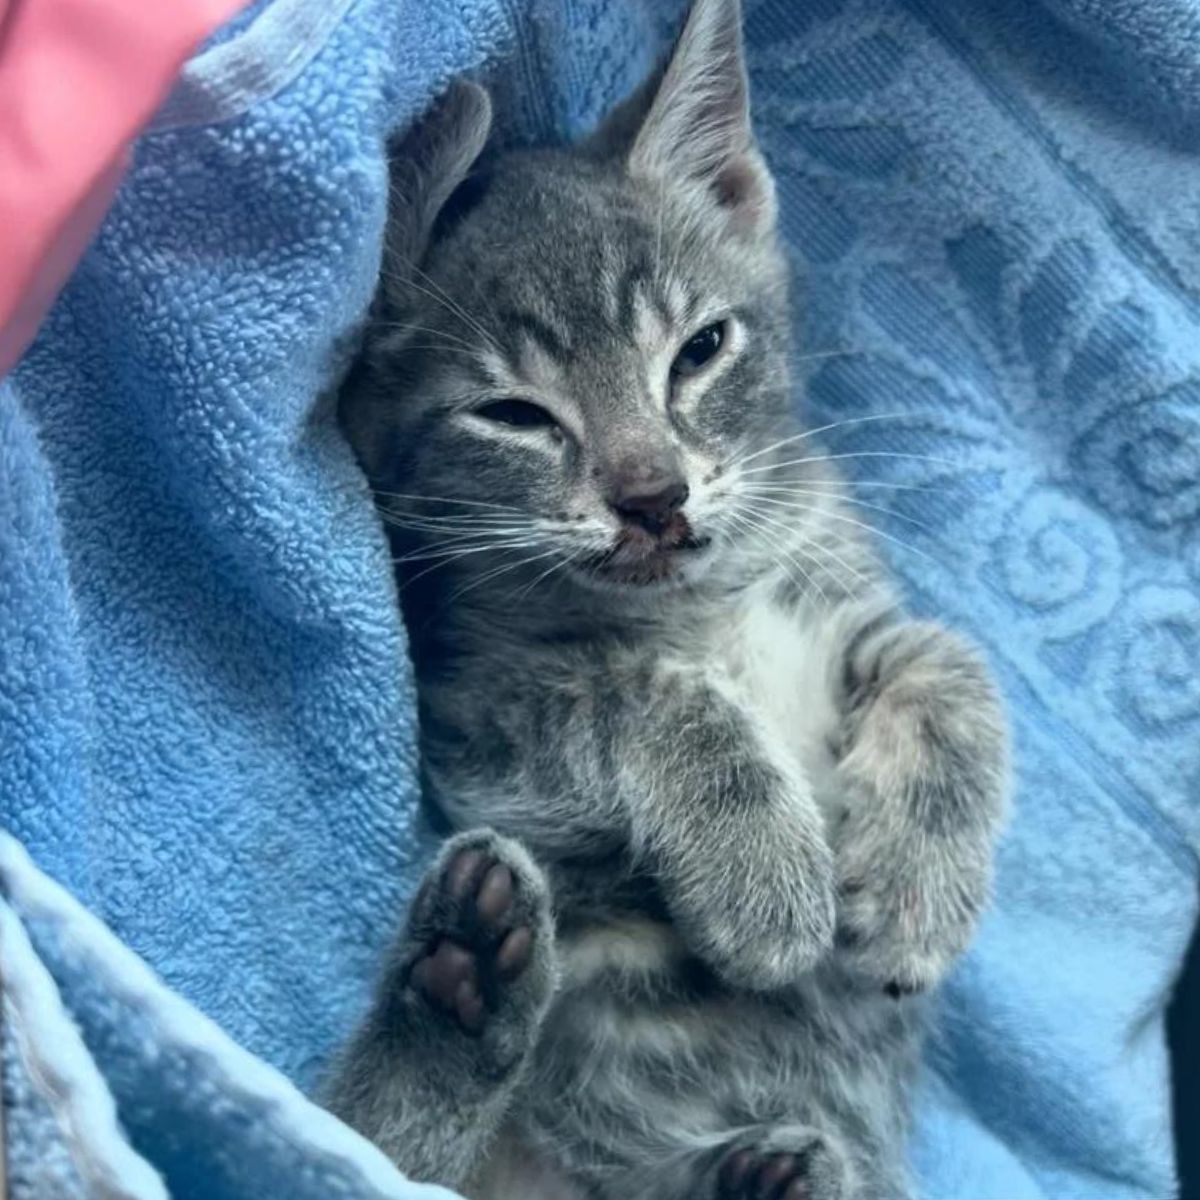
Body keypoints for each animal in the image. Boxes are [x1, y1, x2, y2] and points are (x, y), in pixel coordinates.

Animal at [324, 0, 1008, 1195]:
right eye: (513, 414)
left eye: (700, 350)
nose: (653, 497)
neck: (703, 601)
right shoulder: (472, 716)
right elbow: (642, 689)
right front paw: (762, 870)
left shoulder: (841, 595)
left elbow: (947, 657)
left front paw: (919, 882)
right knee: (362, 1151)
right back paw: (461, 983)